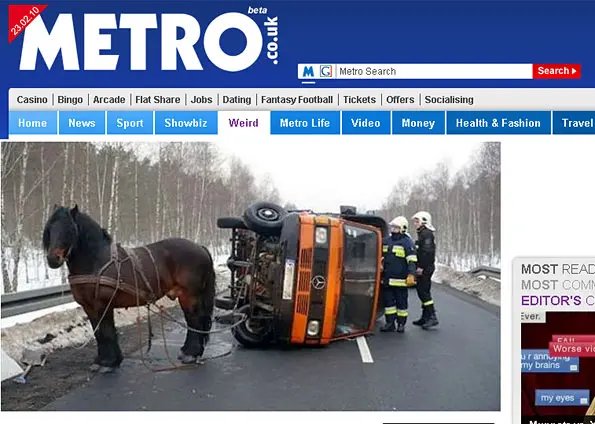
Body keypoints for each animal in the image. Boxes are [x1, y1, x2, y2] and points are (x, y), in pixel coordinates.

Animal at [44, 204, 217, 372]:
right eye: (50, 229)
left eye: (69, 230)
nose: (52, 259)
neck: (95, 261)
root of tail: (200, 247)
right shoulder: (89, 307)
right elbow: (98, 333)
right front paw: (102, 361)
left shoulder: (102, 305)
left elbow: (106, 332)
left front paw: (109, 363)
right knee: (191, 320)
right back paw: (187, 351)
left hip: (190, 295)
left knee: (195, 321)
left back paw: (191, 354)